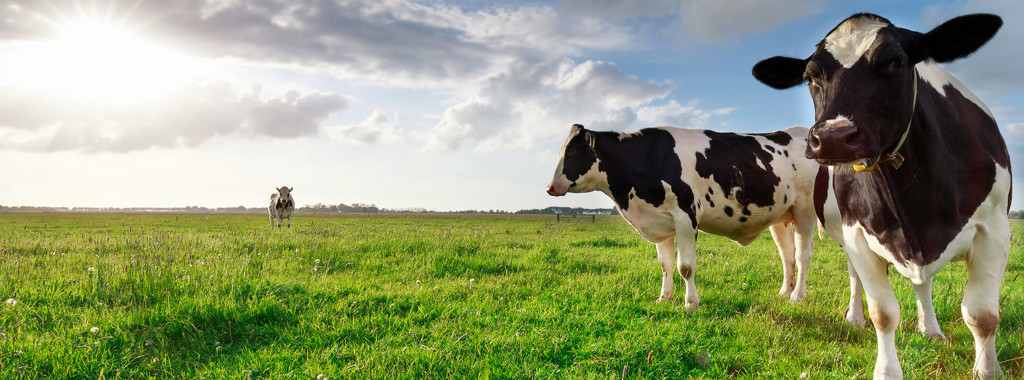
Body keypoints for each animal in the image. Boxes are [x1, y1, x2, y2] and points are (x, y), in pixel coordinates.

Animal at [544, 123, 823, 311]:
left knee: (803, 255)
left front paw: (691, 303)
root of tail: (797, 131)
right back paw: (784, 292)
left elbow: (685, 267)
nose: (550, 187)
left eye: (574, 153)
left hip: (805, 211)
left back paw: (798, 296)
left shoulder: (686, 217)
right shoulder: (659, 221)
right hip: (781, 216)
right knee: (787, 255)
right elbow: (665, 265)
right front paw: (664, 297)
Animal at [753, 12, 1007, 380]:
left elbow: (983, 317)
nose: (833, 137)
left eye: (896, 62)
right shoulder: (858, 235)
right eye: (810, 76)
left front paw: (988, 369)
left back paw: (930, 328)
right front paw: (885, 367)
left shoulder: (994, 232)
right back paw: (855, 317)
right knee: (857, 278)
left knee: (923, 285)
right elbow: (883, 313)